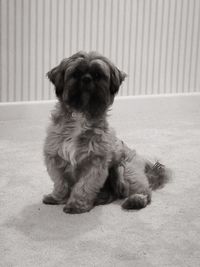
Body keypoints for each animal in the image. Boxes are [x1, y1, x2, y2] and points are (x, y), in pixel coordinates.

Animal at [42, 51, 170, 215]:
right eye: (76, 73)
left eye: (98, 75)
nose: (87, 79)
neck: (81, 114)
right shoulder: (54, 157)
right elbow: (60, 182)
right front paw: (57, 197)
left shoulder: (95, 163)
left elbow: (84, 186)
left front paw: (77, 205)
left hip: (126, 170)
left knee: (145, 192)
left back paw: (135, 200)